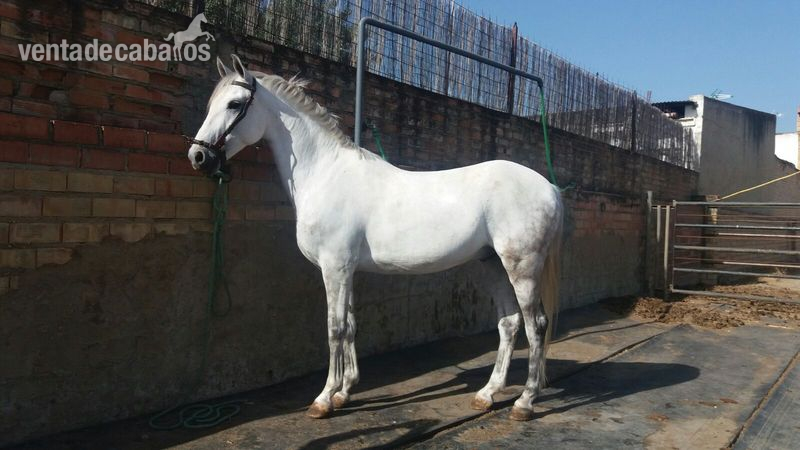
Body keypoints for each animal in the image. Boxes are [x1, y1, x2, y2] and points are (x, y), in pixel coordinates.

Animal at [187, 55, 564, 421]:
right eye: (212, 104)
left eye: (235, 104)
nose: (198, 157)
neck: (326, 174)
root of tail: (549, 188)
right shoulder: (347, 269)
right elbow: (351, 324)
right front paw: (344, 392)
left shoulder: (334, 267)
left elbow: (335, 328)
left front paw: (324, 399)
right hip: (493, 264)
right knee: (509, 324)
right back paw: (487, 395)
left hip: (521, 269)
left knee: (536, 326)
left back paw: (524, 403)